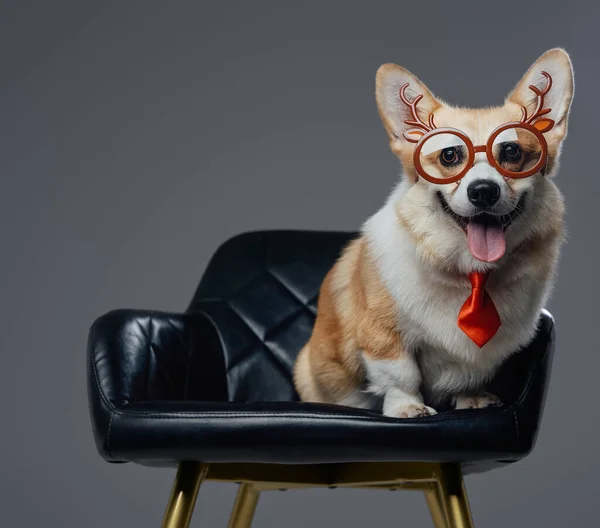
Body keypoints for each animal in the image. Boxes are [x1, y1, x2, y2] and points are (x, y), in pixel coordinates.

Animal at [292, 50, 576, 420]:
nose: (483, 191)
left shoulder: (482, 355)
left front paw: (472, 397)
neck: (470, 271)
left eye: (512, 152)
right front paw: (407, 407)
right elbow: (401, 375)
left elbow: (471, 372)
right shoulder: (383, 336)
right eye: (449, 155)